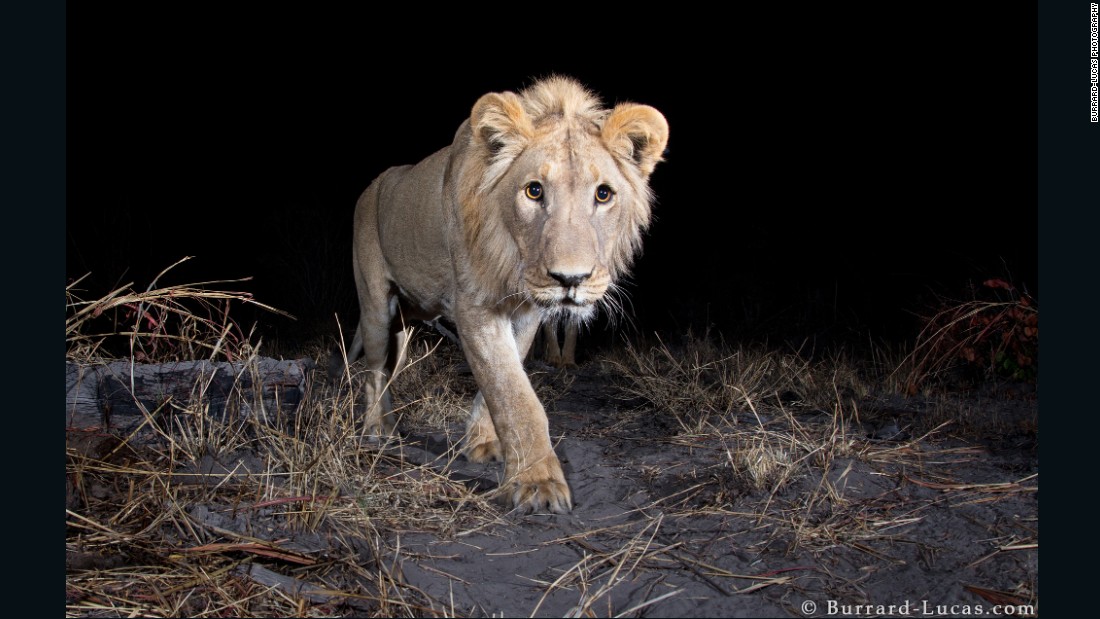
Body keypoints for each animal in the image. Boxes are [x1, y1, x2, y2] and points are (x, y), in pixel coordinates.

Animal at [334, 76, 664, 514]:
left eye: (604, 194)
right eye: (534, 191)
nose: (571, 279)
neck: (512, 258)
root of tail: (374, 185)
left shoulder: (527, 313)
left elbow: (504, 382)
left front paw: (483, 442)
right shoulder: (473, 305)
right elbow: (512, 393)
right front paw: (537, 484)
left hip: (402, 331)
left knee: (389, 369)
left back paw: (388, 425)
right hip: (375, 307)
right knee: (372, 372)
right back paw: (376, 429)